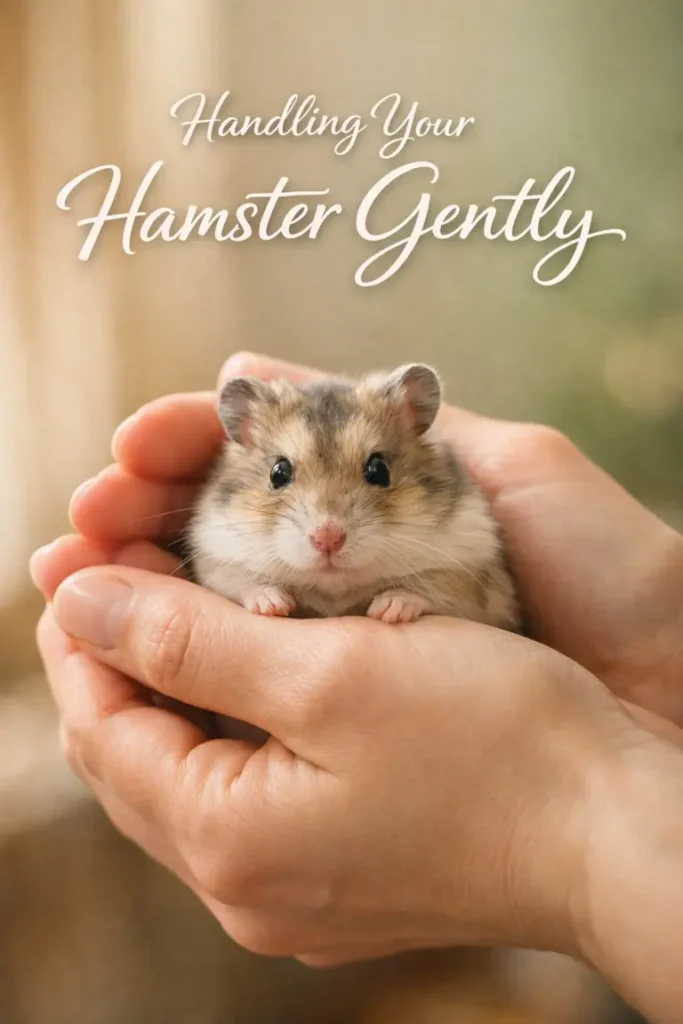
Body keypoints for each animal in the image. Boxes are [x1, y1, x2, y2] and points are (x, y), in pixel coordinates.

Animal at [189, 364, 519, 631]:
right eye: (278, 473)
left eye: (379, 470)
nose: (328, 539)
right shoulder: (216, 557)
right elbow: (239, 580)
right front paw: (273, 604)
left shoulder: (471, 570)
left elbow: (433, 588)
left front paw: (388, 609)